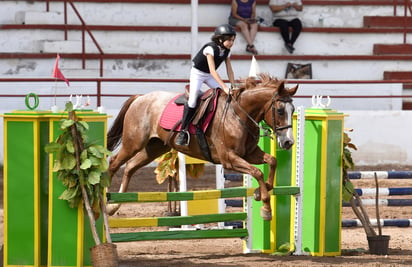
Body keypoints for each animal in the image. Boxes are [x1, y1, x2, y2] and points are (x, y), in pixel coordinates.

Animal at [108, 74, 298, 222]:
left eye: (293, 109)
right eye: (280, 110)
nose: (288, 142)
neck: (239, 114)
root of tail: (140, 97)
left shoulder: (250, 153)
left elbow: (272, 161)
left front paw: (261, 191)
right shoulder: (229, 159)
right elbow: (257, 172)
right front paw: (266, 207)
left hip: (154, 148)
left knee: (130, 167)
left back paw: (113, 207)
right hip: (133, 143)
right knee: (114, 163)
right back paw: (106, 200)